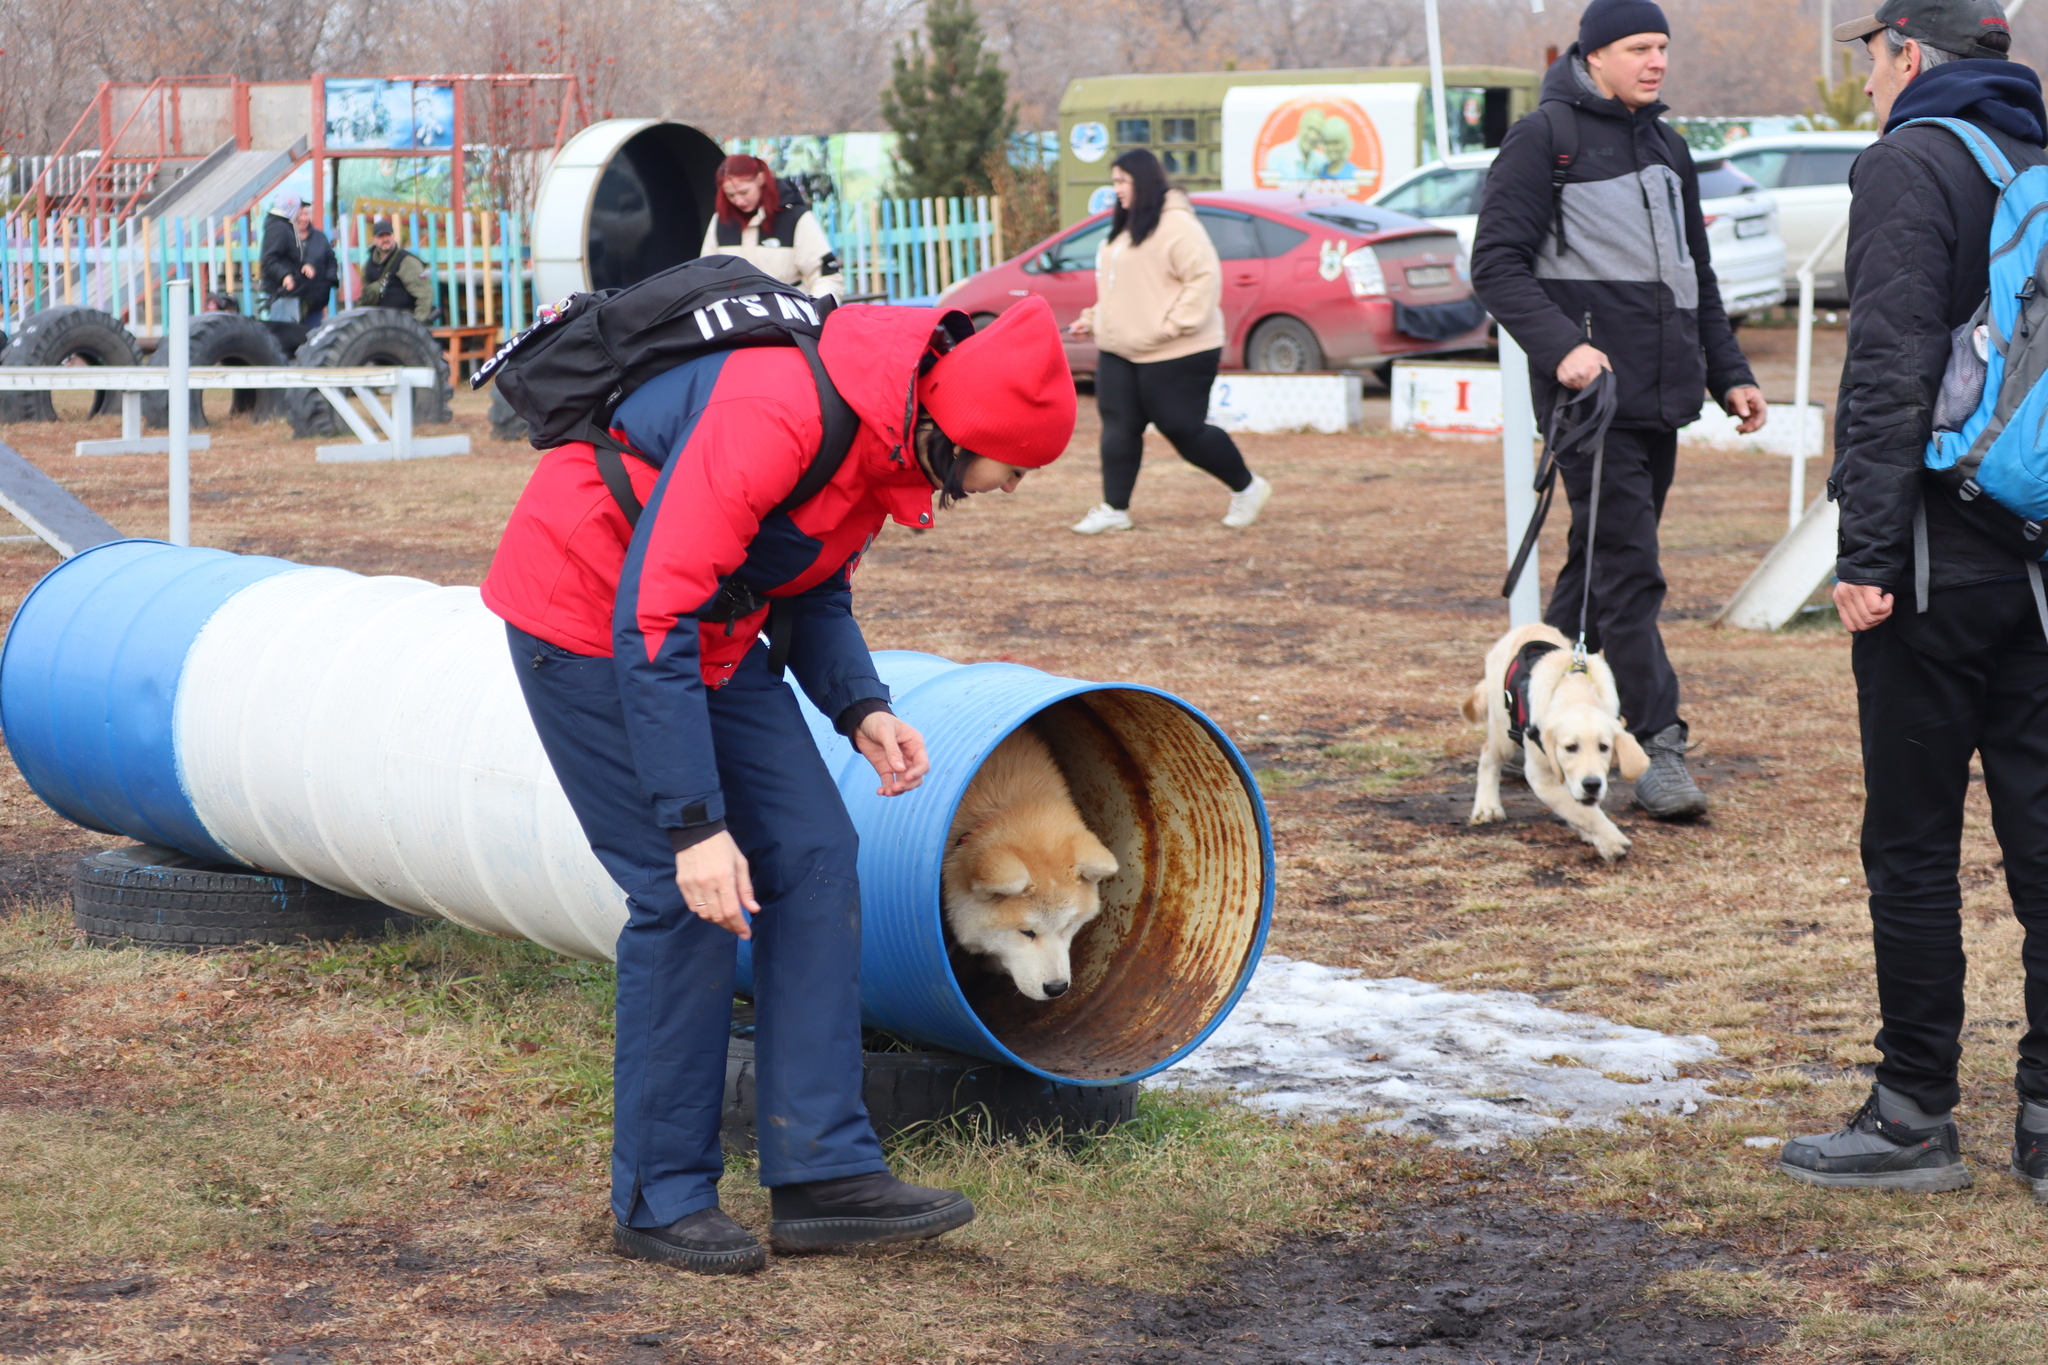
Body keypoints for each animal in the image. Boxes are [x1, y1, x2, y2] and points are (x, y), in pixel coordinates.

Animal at [1466, 626, 1654, 859]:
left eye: (1604, 747)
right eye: (1570, 748)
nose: (1592, 784)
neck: (1576, 691)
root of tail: (1525, 627)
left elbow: (1582, 807)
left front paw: (1594, 835)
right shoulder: (1542, 778)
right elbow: (1580, 810)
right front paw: (1610, 840)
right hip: (1503, 730)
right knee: (1487, 756)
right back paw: (1487, 807)